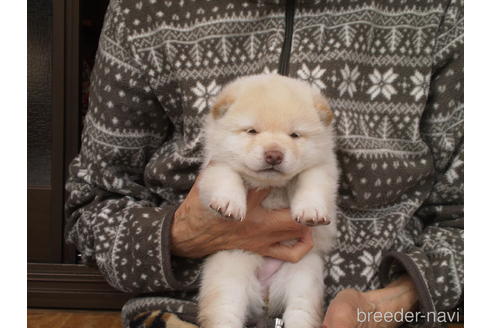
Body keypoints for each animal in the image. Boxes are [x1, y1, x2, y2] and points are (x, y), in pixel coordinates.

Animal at [196, 74, 338, 328]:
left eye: (294, 135)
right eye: (252, 131)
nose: (274, 155)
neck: (270, 186)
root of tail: (264, 295)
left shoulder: (323, 168)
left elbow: (311, 181)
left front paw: (310, 211)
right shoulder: (214, 166)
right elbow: (227, 175)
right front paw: (228, 204)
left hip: (305, 276)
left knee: (301, 311)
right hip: (227, 277)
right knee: (224, 313)